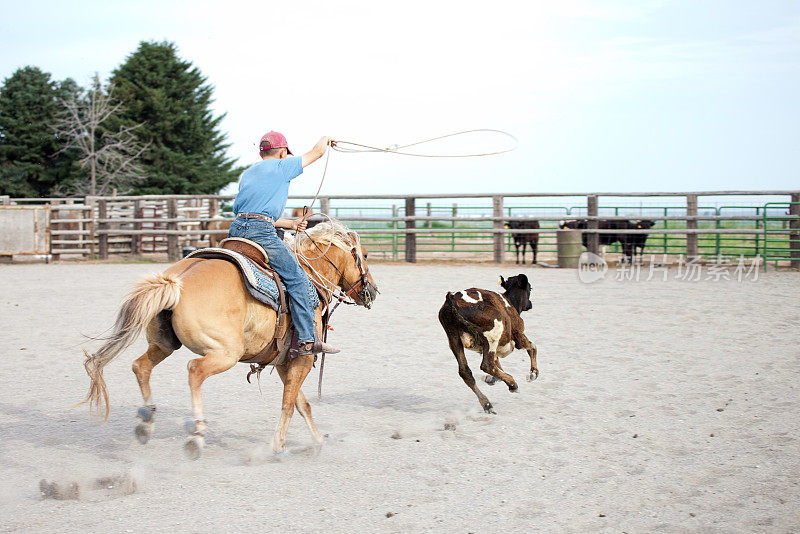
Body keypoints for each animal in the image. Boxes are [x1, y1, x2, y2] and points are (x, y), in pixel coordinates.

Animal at [81, 222, 378, 460]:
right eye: (364, 255)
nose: (373, 291)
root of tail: (176, 282)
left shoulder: (284, 361)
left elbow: (301, 403)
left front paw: (317, 441)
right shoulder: (302, 357)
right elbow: (288, 404)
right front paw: (278, 446)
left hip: (163, 345)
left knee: (141, 366)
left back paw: (146, 422)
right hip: (226, 353)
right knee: (194, 370)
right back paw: (196, 433)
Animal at [438, 274, 536, 416]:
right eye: (530, 288)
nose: (530, 304)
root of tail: (452, 298)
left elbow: (497, 363)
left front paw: (493, 379)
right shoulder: (519, 335)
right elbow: (532, 347)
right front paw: (533, 373)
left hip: (453, 339)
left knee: (465, 372)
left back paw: (487, 404)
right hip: (492, 335)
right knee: (486, 365)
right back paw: (512, 384)